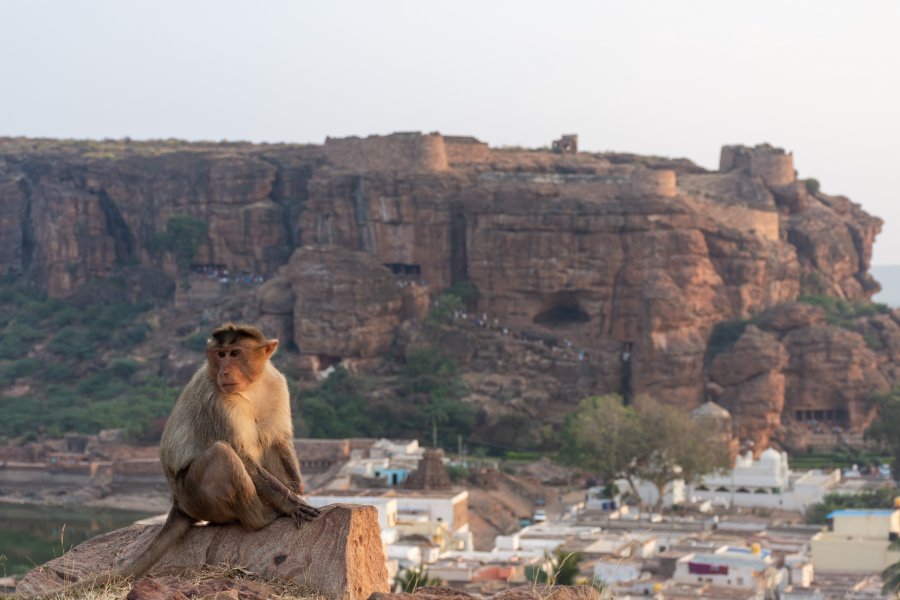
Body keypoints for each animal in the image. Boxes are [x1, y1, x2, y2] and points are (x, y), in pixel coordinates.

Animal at [51, 322, 320, 592]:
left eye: (235, 353)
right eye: (220, 355)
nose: (225, 372)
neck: (251, 386)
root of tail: (178, 502)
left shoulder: (276, 384)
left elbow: (277, 441)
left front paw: (297, 491)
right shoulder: (217, 400)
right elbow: (241, 454)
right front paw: (290, 504)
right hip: (195, 496)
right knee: (222, 454)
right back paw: (260, 519)